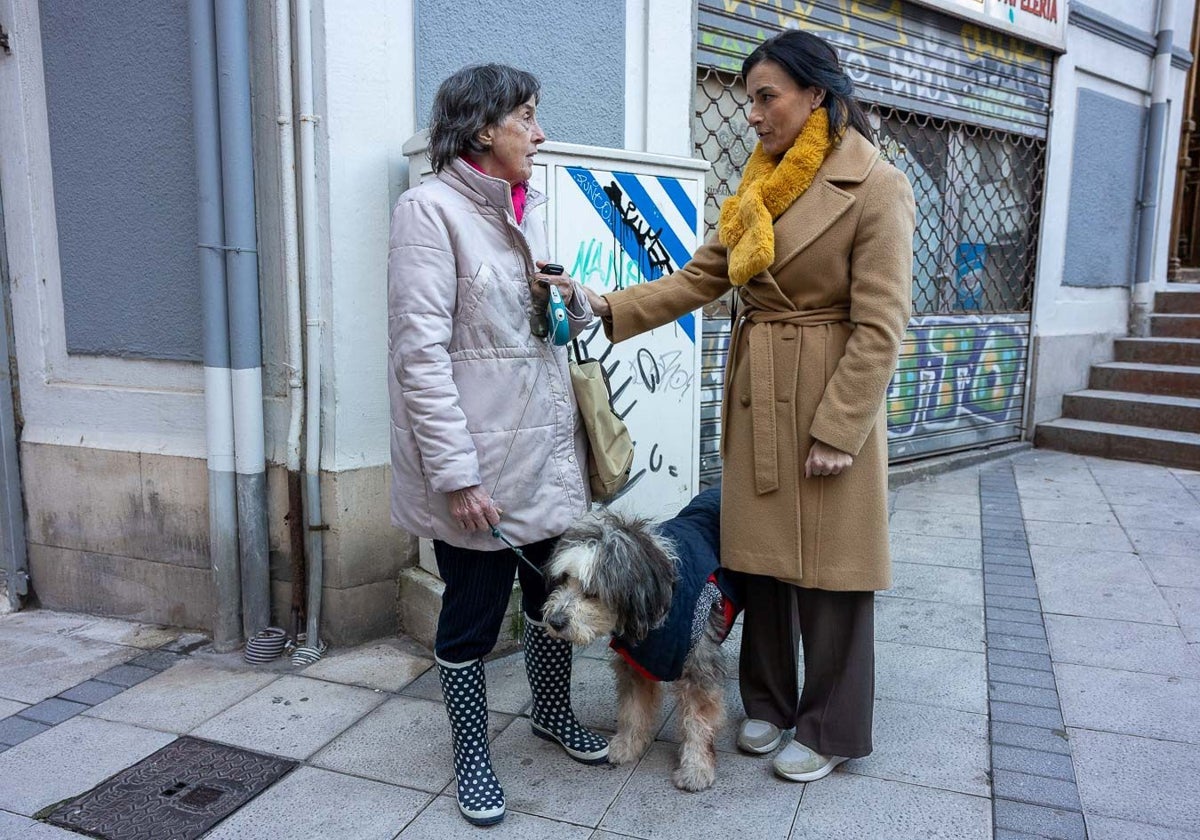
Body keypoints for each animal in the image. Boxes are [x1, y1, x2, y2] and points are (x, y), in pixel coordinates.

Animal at [542, 489, 729, 792]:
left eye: (592, 592)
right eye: (564, 578)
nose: (555, 622)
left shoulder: (698, 668)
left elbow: (698, 722)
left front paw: (696, 767)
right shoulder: (635, 663)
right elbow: (632, 709)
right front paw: (627, 745)